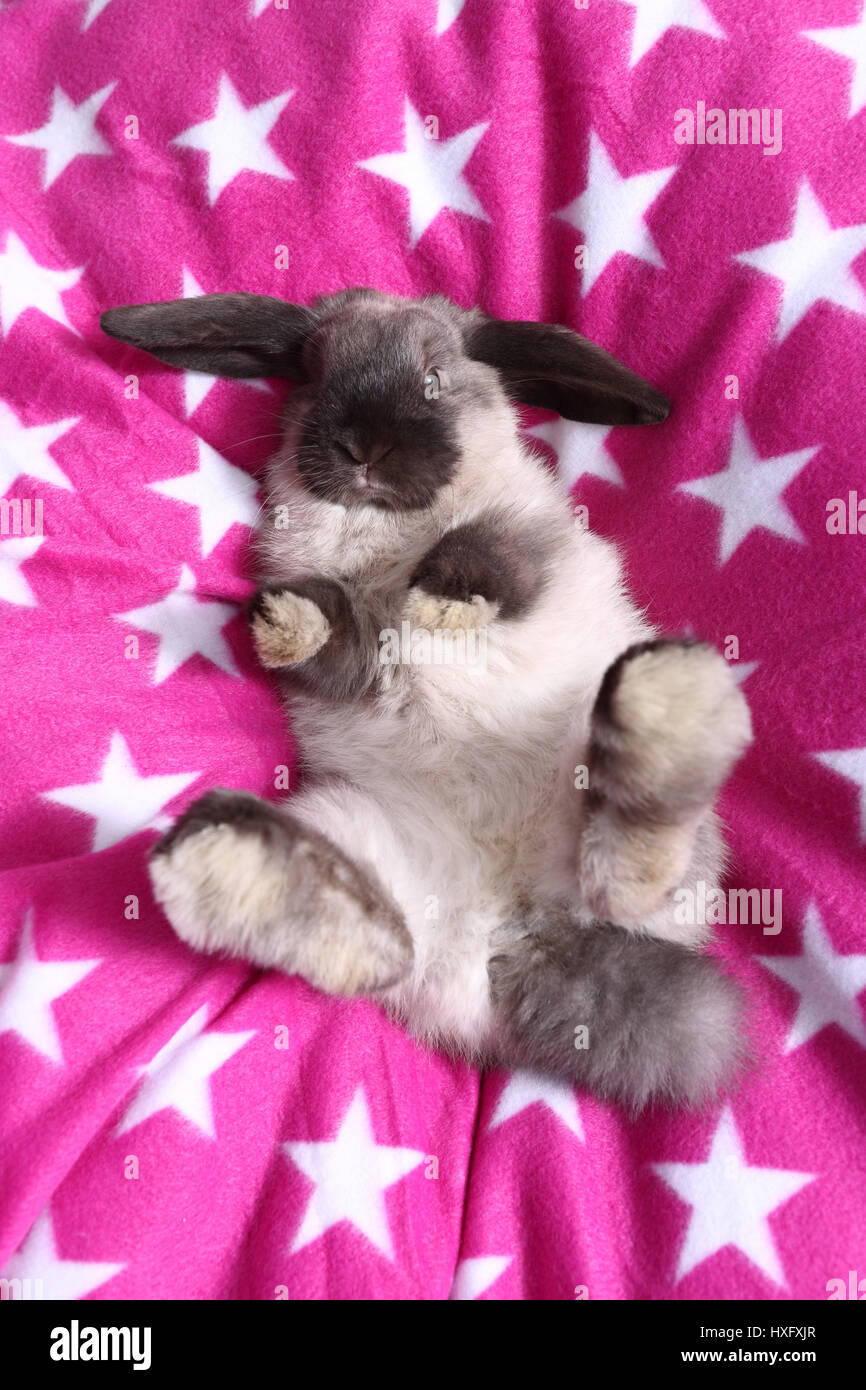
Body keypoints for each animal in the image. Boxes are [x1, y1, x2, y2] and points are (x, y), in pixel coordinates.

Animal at [100, 287, 753, 1111]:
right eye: (314, 373)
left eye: (436, 378)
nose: (364, 447)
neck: (384, 527)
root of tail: (517, 929)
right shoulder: (355, 648)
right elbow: (340, 637)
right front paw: (282, 620)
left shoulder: (529, 536)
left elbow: (485, 555)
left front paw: (440, 608)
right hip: (361, 831)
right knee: (378, 937)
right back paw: (228, 866)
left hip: (608, 798)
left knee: (628, 872)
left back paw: (668, 707)